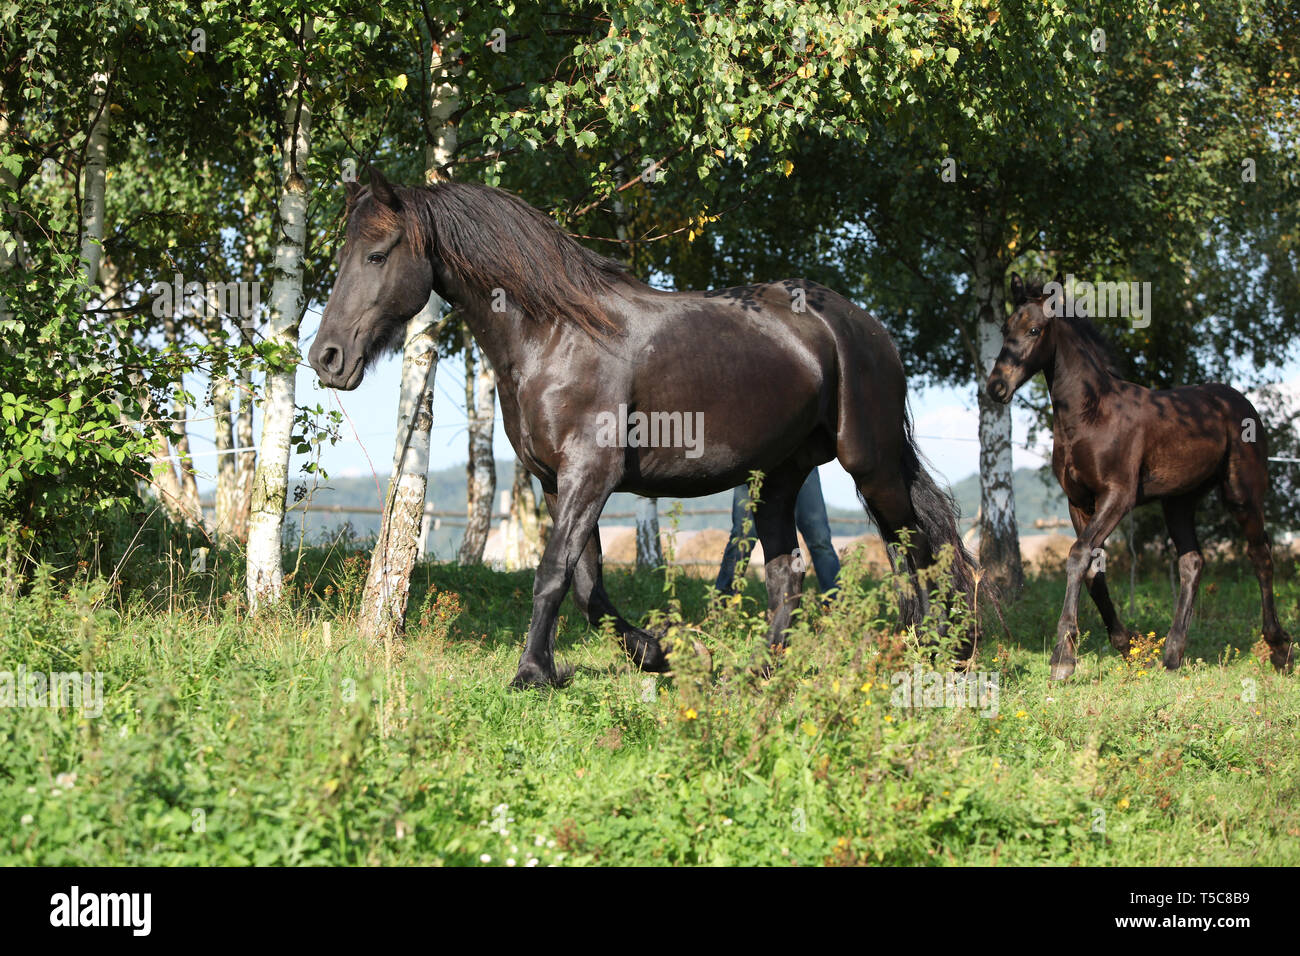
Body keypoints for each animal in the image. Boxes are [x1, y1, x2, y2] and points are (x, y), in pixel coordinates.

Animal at [310, 167, 976, 689]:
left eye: (377, 254)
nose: (326, 358)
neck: (556, 333)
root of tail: (864, 326)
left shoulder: (591, 474)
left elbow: (553, 574)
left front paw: (530, 674)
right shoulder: (556, 482)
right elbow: (587, 584)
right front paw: (654, 653)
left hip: (872, 464)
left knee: (919, 550)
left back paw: (939, 654)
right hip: (779, 477)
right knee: (789, 573)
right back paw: (762, 672)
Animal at [986, 272, 1295, 679]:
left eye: (1035, 329)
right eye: (1005, 329)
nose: (996, 387)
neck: (1090, 415)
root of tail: (1242, 403)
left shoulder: (1118, 495)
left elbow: (1078, 554)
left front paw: (1063, 657)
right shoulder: (1078, 502)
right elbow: (1092, 568)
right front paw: (1126, 645)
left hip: (1242, 494)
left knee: (1260, 555)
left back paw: (1279, 648)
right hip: (1179, 501)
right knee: (1192, 561)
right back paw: (1172, 655)